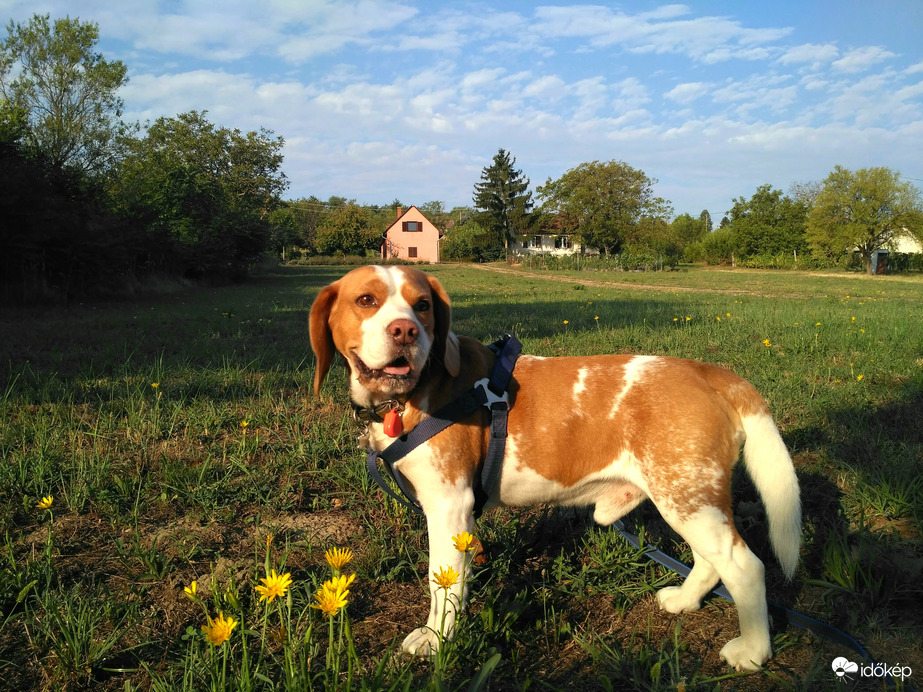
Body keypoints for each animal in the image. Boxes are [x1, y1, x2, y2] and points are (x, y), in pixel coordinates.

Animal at [310, 264, 800, 672]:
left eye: (423, 304)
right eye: (366, 300)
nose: (406, 331)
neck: (413, 393)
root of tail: (705, 371)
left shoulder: (449, 506)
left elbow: (442, 584)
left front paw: (435, 640)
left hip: (687, 500)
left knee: (745, 566)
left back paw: (753, 651)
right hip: (688, 499)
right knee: (710, 561)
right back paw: (684, 600)